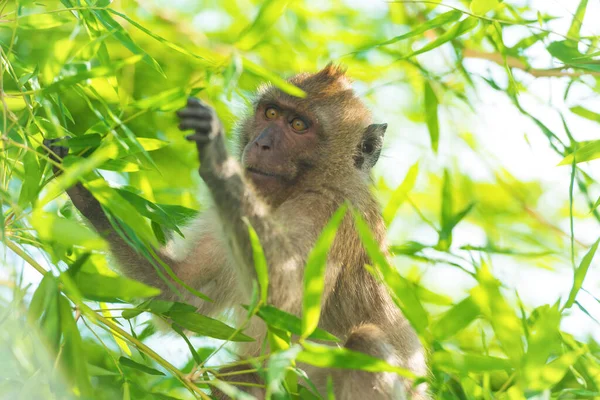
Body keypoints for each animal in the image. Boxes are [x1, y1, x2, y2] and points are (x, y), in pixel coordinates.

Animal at [44, 64, 428, 398]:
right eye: (270, 114)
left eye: (299, 125)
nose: (261, 143)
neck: (302, 187)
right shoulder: (227, 214)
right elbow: (179, 293)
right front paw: (79, 183)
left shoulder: (329, 214)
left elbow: (281, 298)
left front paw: (215, 156)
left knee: (367, 343)